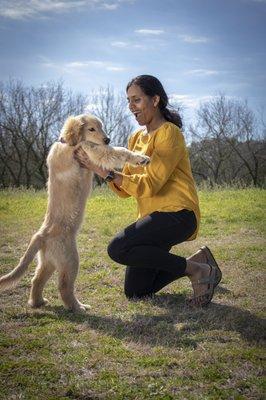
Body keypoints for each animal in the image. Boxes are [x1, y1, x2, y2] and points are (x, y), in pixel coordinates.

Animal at [0, 114, 150, 314]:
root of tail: (42, 234)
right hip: (70, 259)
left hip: (49, 261)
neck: (68, 142)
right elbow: (119, 151)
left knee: (36, 279)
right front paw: (141, 158)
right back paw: (78, 307)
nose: (107, 139)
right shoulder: (92, 150)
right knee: (64, 286)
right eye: (91, 129)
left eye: (101, 127)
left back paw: (37, 302)